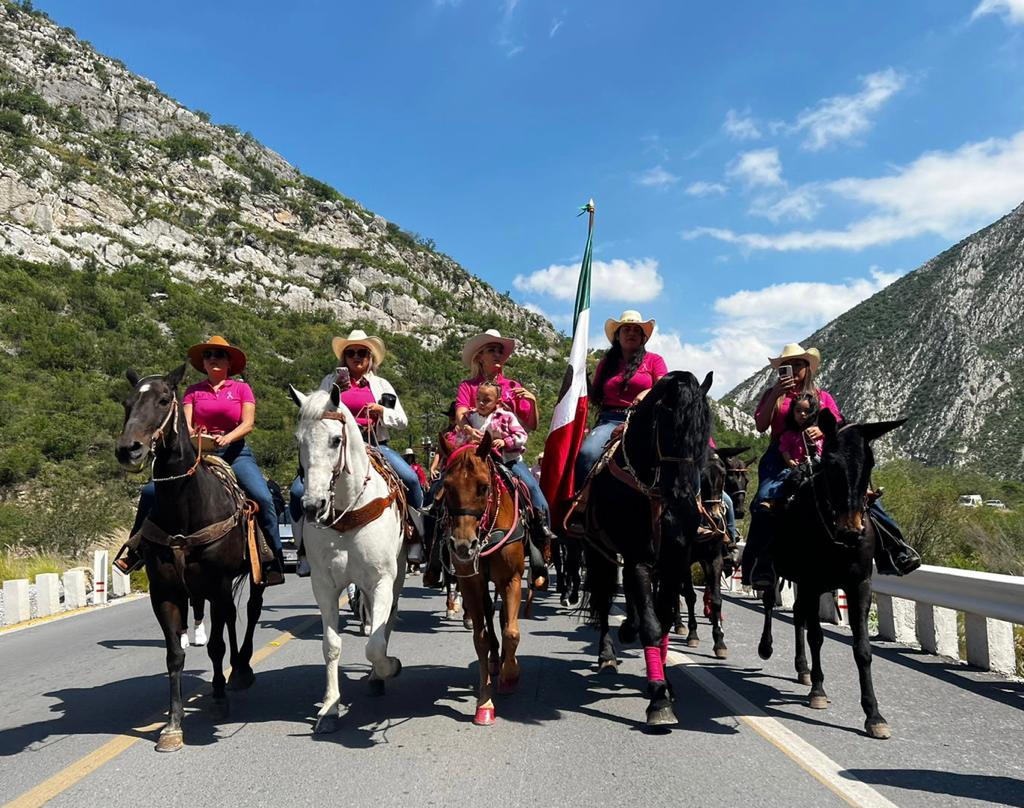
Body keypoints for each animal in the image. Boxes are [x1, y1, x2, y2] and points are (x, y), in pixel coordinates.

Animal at [114, 366, 266, 749]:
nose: (129, 449)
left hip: (255, 575)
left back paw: (242, 668)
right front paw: (172, 725)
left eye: (164, 399)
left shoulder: (218, 583)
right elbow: (175, 655)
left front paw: (219, 700)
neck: (186, 507)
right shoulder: (166, 593)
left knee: (250, 613)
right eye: (126, 402)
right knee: (230, 618)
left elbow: (215, 647)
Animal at [290, 385, 405, 733]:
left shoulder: (382, 580)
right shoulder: (324, 586)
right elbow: (331, 645)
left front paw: (389, 668)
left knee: (387, 623)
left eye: (335, 440)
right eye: (298, 440)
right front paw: (330, 706)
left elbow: (376, 644)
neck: (347, 511)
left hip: (396, 577)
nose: (312, 505)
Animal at [438, 434, 524, 725]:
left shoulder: (511, 579)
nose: (464, 546)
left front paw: (510, 675)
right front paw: (484, 702)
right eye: (446, 486)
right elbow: (481, 639)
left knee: (503, 617)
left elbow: (511, 632)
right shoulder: (470, 582)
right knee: (488, 612)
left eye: (484, 487)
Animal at [581, 368, 708, 729]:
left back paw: (627, 629)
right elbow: (652, 626)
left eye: (704, 429)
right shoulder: (639, 556)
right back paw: (608, 654)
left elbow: (662, 619)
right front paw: (658, 699)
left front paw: (667, 683)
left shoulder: (674, 561)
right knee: (604, 598)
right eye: (669, 423)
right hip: (598, 551)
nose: (682, 494)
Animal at [753, 409, 905, 737]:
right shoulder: (811, 582)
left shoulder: (859, 585)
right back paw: (768, 648)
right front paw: (819, 692)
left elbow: (862, 649)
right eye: (831, 463)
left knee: (798, 615)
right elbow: (817, 637)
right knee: (771, 605)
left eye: (870, 462)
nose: (850, 530)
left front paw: (874, 715)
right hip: (778, 573)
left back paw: (803, 669)